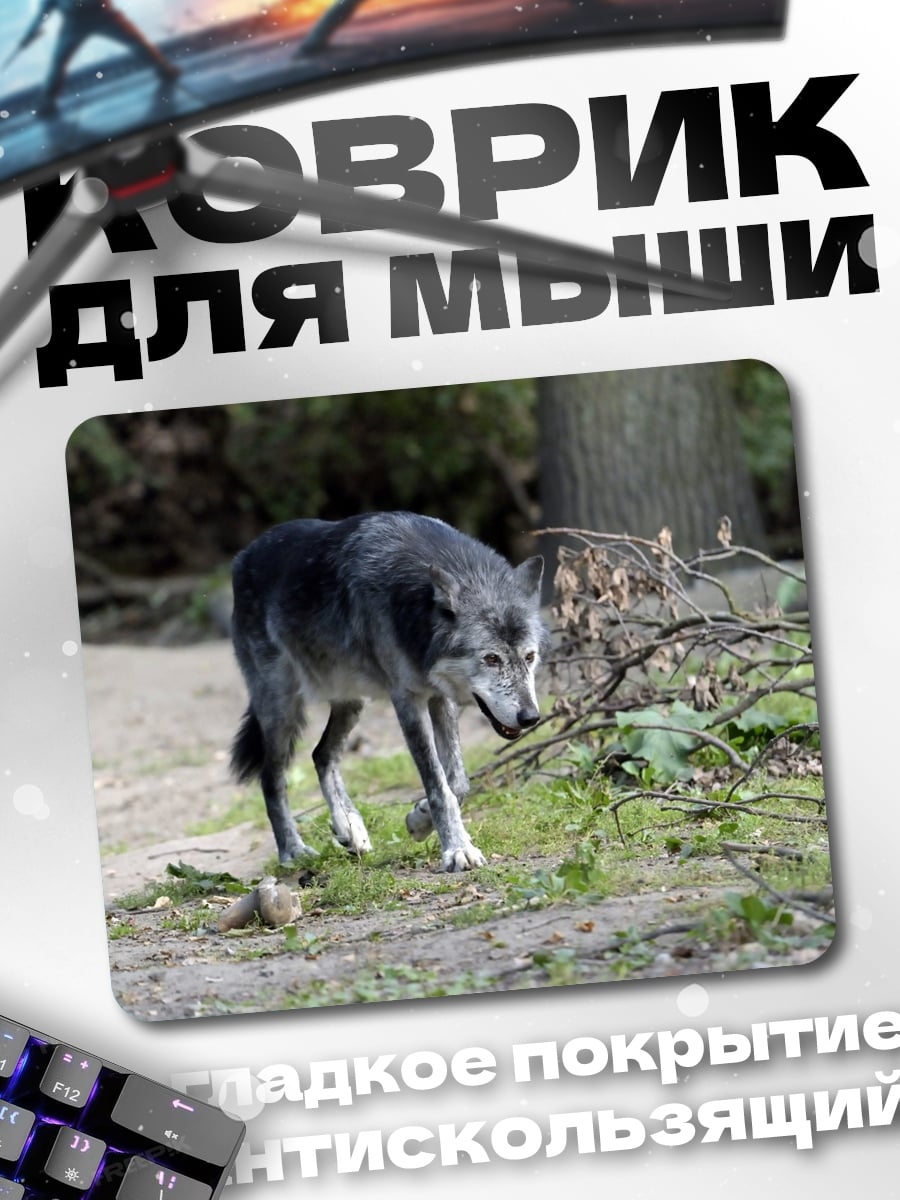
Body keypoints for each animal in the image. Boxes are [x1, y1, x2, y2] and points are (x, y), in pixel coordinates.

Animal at [230, 512, 549, 872]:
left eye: (529, 657)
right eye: (491, 658)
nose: (530, 717)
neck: (414, 606)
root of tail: (243, 556)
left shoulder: (439, 696)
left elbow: (457, 783)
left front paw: (420, 820)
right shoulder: (407, 699)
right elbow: (439, 786)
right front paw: (457, 849)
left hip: (351, 701)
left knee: (322, 755)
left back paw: (349, 829)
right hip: (281, 708)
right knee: (272, 778)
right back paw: (293, 851)